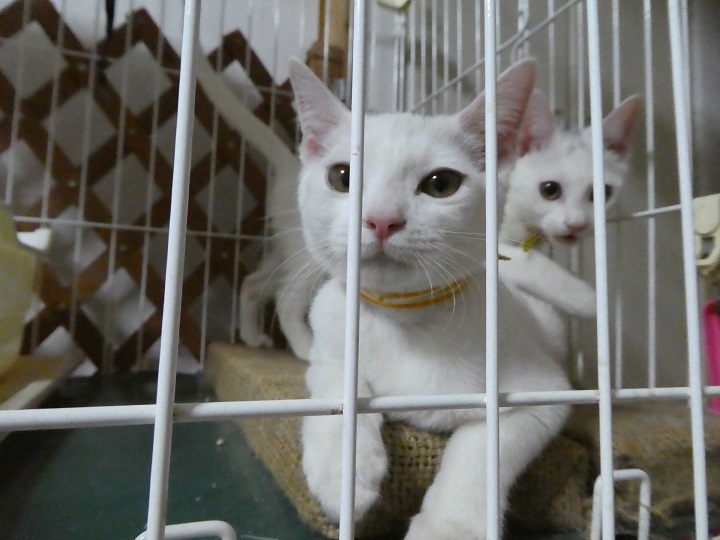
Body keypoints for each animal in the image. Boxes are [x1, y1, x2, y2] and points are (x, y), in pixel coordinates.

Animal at [290, 57, 572, 539]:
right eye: (341, 177)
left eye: (441, 184)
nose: (381, 219)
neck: (406, 317)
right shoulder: (327, 340)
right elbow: (331, 381)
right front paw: (342, 465)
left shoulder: (542, 392)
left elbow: (486, 446)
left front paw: (449, 524)